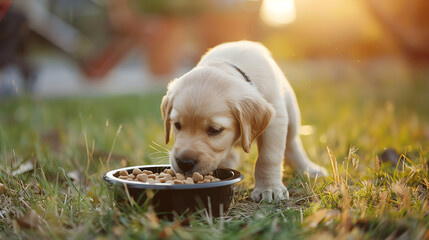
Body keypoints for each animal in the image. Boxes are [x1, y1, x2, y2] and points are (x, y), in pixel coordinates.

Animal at [162, 41, 326, 202]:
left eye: (215, 130)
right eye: (177, 125)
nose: (184, 163)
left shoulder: (276, 121)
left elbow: (269, 157)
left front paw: (269, 188)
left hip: (292, 111)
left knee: (292, 144)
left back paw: (308, 169)